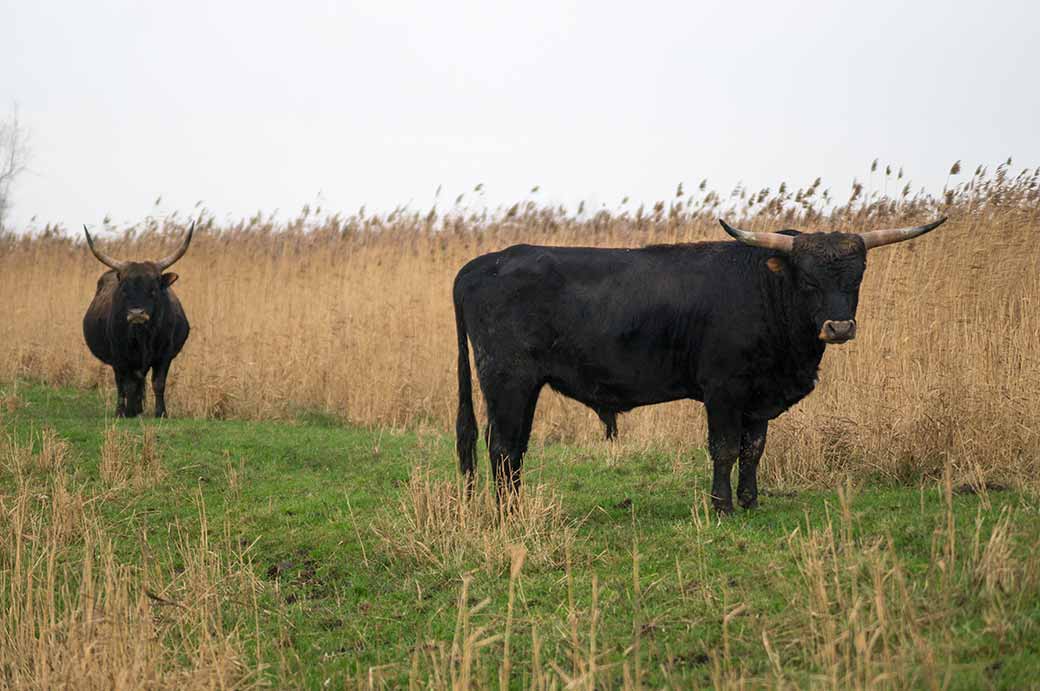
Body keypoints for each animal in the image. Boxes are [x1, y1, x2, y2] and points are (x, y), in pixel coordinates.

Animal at [81, 222, 195, 416]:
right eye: (124, 290)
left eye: (153, 290)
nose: (137, 314)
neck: (143, 336)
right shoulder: (120, 356)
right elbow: (127, 385)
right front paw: (128, 412)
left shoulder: (165, 355)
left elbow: (158, 383)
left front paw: (161, 413)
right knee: (122, 384)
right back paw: (124, 410)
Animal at [451, 217, 948, 512]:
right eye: (807, 280)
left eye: (856, 278)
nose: (840, 327)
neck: (766, 289)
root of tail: (485, 263)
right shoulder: (723, 389)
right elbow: (724, 448)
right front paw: (722, 505)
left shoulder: (758, 397)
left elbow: (753, 449)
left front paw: (750, 501)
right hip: (508, 380)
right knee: (503, 447)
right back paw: (509, 513)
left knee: (512, 449)